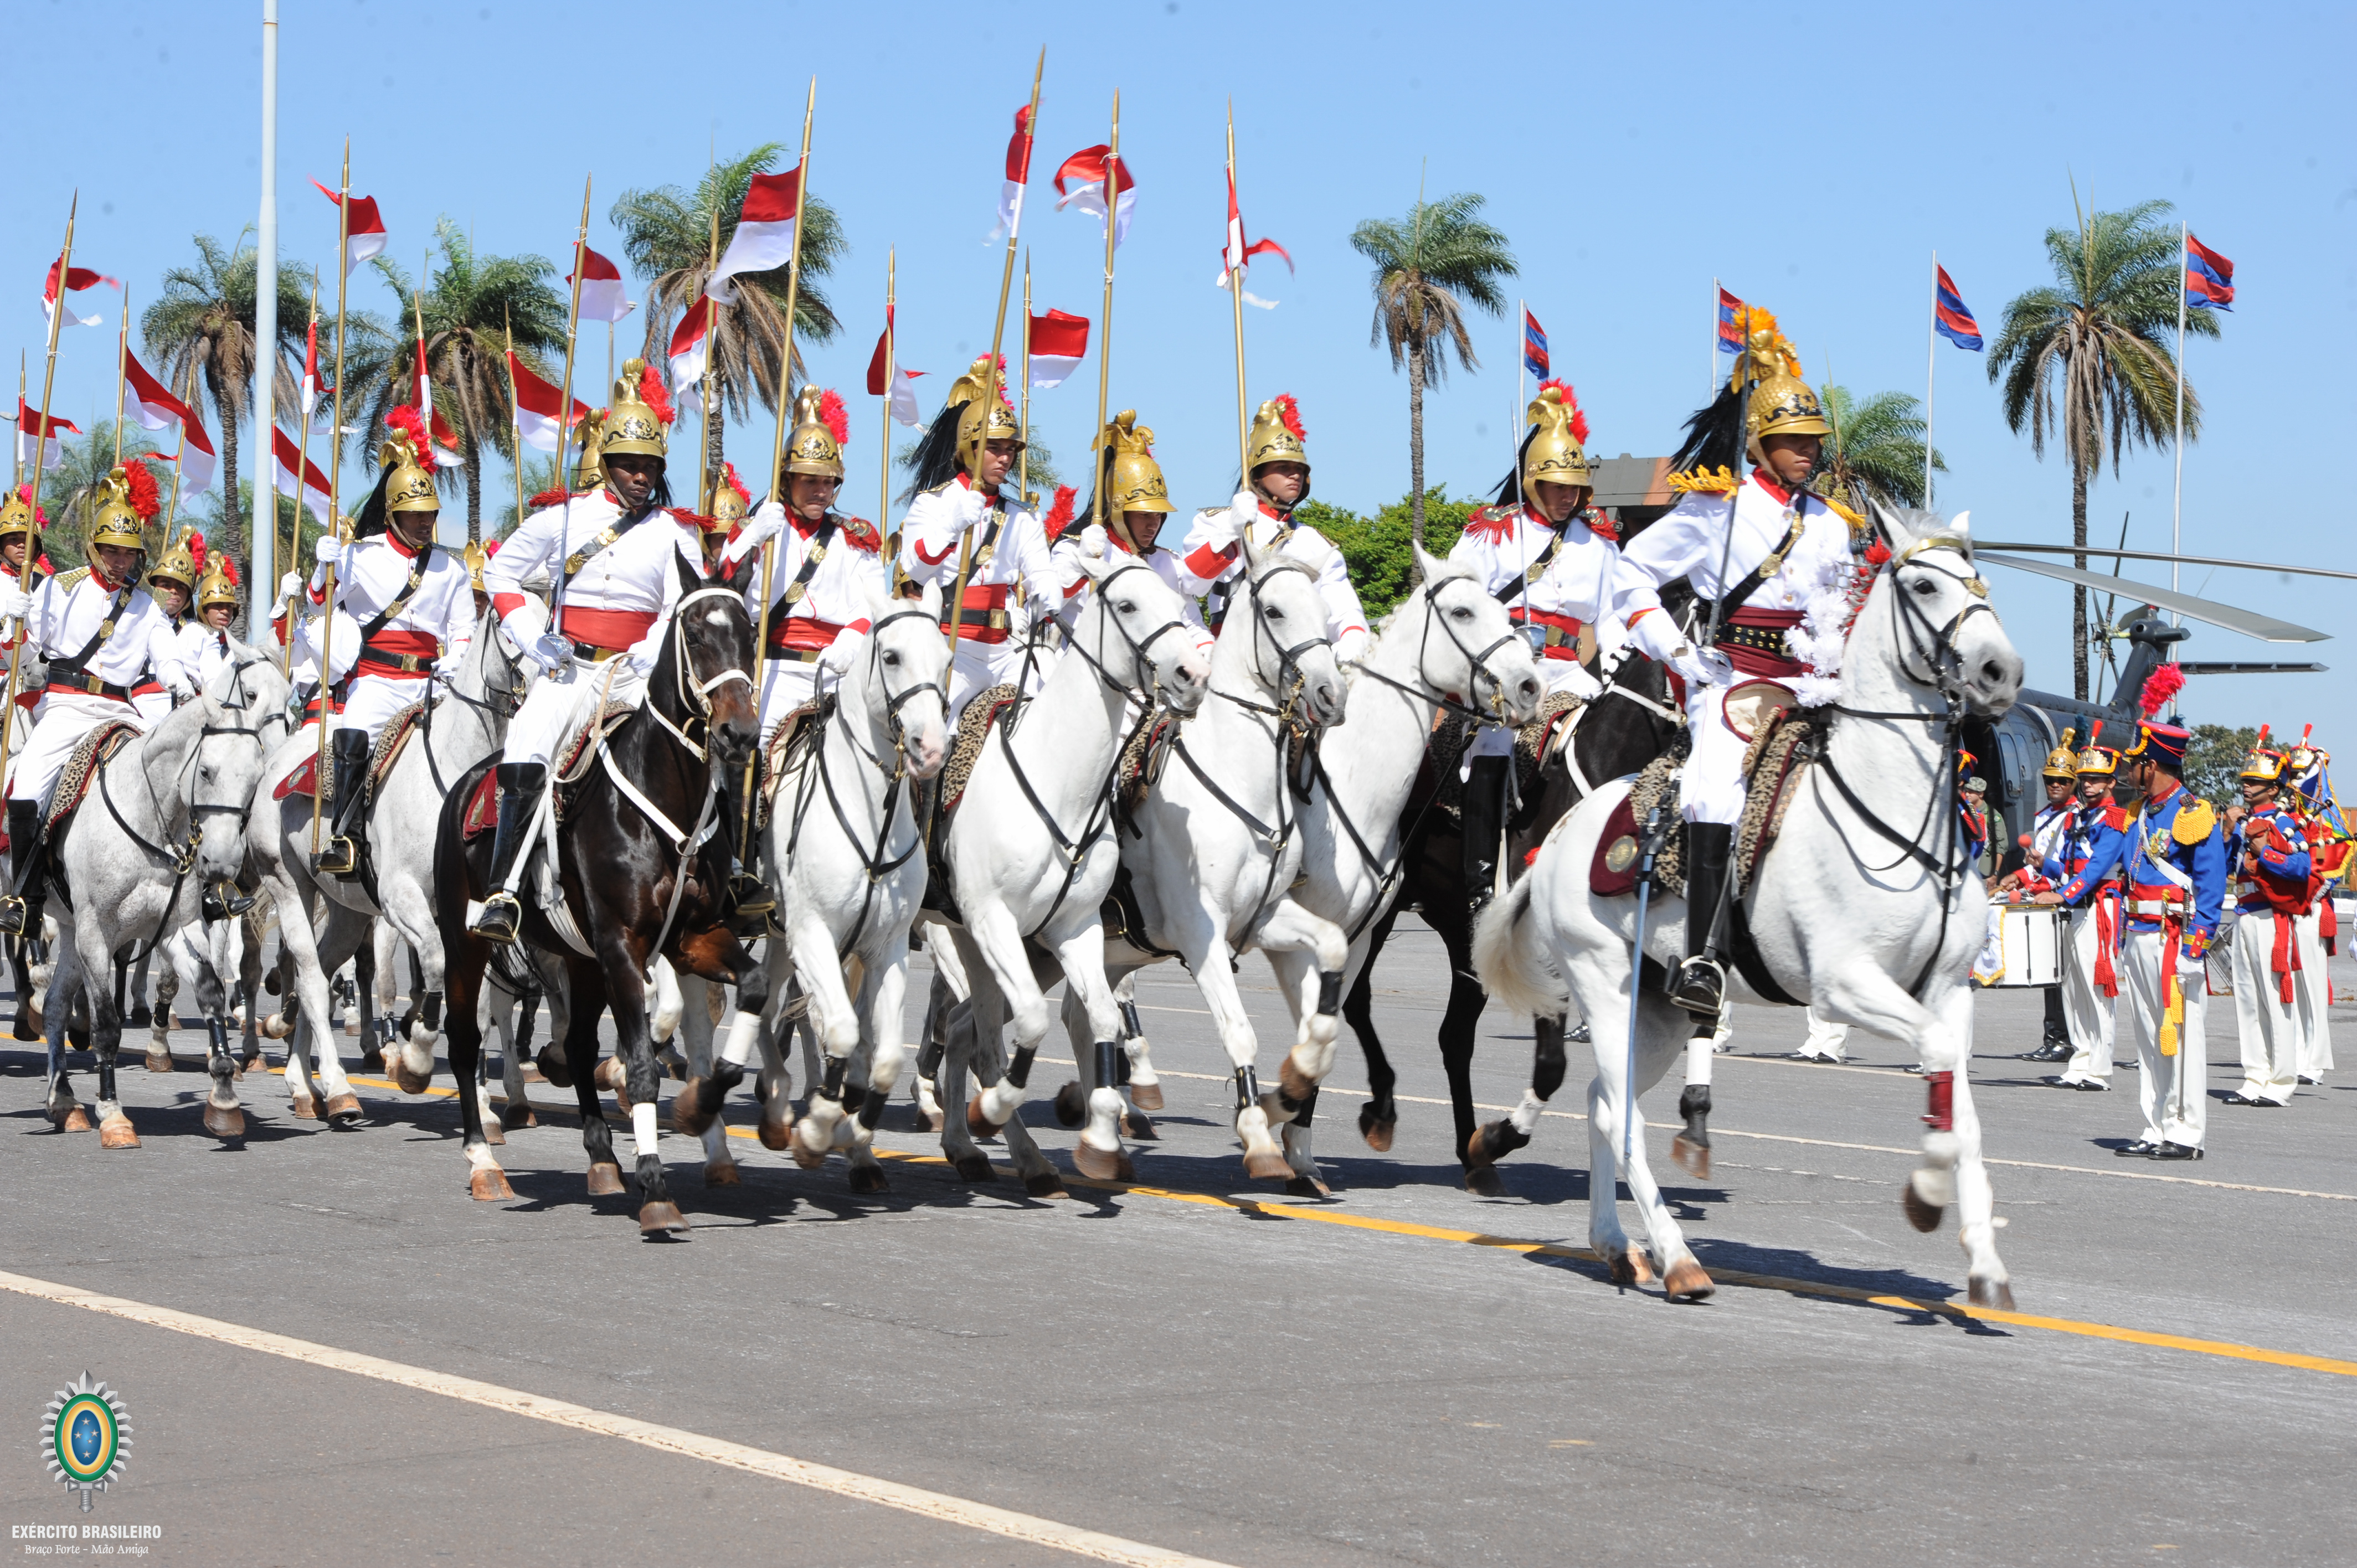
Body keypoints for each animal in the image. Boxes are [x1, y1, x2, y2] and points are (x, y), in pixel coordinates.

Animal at [40, 641, 292, 1146]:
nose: (222, 861)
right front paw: (113, 1114)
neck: (148, 817)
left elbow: (211, 991)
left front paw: (224, 1096)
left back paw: (64, 1102)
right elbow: (107, 1025)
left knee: (56, 1005)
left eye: (254, 778)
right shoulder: (97, 933)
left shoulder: (177, 926)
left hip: (71, 931)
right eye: (208, 771)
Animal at [434, 559, 763, 1235]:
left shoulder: (692, 939)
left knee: (582, 1044)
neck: (665, 800)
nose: (739, 732)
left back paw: (602, 1159)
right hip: (465, 944)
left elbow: (753, 988)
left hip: (579, 958)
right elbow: (638, 1063)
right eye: (694, 632)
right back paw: (484, 1162)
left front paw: (701, 1106)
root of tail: (466, 785)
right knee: (462, 1038)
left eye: (749, 632)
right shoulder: (622, 945)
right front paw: (657, 1188)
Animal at [924, 544, 1207, 1193]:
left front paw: (1100, 1133)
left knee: (968, 1032)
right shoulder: (995, 920)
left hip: (971, 942)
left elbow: (1100, 1016)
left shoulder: (1074, 929)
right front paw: (992, 1109)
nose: (1192, 675)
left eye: (1175, 600)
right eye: (1126, 604)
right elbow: (1030, 1023)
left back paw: (979, 1148)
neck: (1057, 786)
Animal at [1480, 507, 2018, 1301]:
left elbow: (1962, 1098)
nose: (1999, 672)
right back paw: (1677, 1259)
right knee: (1620, 1115)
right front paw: (1926, 1192)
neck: (1892, 813)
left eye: (1977, 577)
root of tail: (1564, 833)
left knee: (1606, 1104)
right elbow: (1939, 1065)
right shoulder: (1845, 983)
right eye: (1923, 584)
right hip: (1606, 988)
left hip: (1660, 1013)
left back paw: (1615, 1243)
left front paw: (1983, 1262)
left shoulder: (1949, 992)